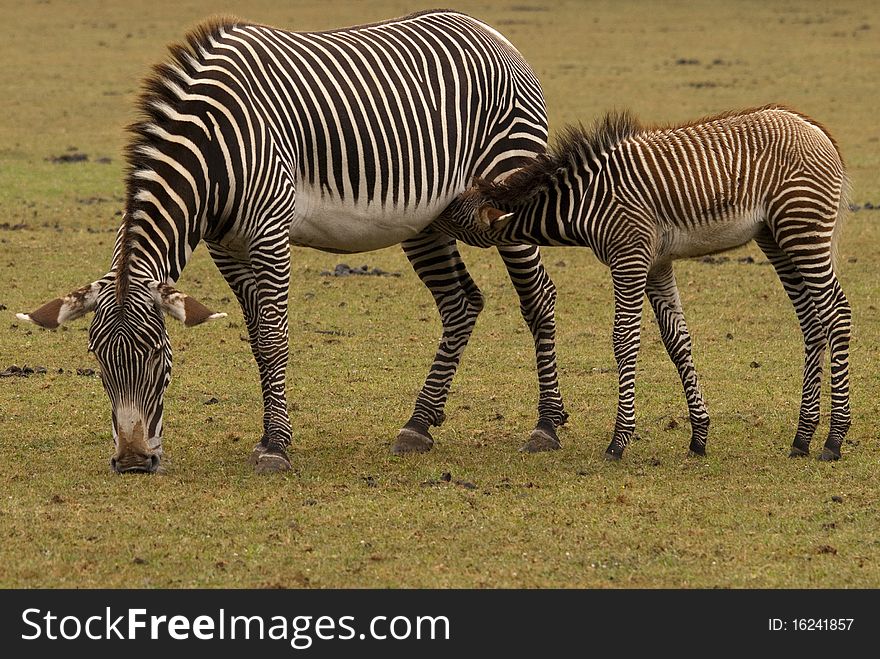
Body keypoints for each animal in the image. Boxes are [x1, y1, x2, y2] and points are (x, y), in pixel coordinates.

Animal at [18, 11, 572, 474]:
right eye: (97, 360)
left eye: (158, 354)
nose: (133, 463)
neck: (212, 152)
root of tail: (489, 30)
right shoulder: (227, 249)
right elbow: (257, 340)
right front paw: (268, 436)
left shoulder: (270, 233)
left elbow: (272, 337)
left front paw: (277, 448)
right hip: (427, 219)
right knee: (460, 303)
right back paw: (418, 425)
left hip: (508, 191)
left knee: (538, 298)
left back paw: (546, 425)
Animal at [438, 105, 852, 462]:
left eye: (451, 213)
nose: (425, 219)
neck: (584, 201)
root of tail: (813, 128)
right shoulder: (656, 263)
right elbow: (677, 341)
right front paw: (699, 435)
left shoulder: (630, 256)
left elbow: (624, 340)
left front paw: (619, 440)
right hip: (776, 237)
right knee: (812, 322)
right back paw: (802, 436)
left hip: (803, 229)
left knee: (837, 313)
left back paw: (833, 439)